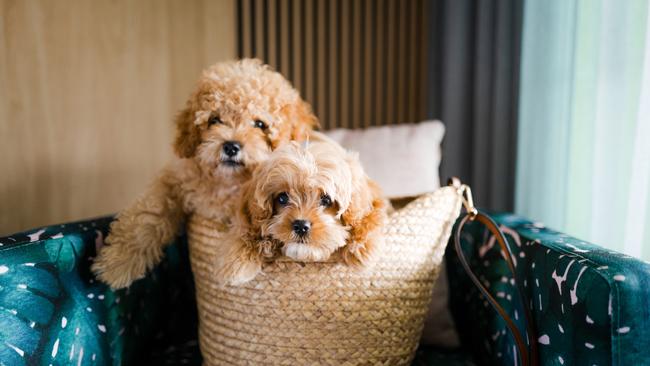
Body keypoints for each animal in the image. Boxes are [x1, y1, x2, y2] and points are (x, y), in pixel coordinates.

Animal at [92, 59, 316, 288]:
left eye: (260, 124)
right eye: (214, 120)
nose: (231, 146)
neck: (226, 182)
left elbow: (248, 226)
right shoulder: (175, 180)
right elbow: (147, 215)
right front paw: (117, 264)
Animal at [213, 139, 384, 284]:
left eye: (326, 200)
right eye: (282, 198)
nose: (301, 226)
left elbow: (368, 217)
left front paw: (363, 247)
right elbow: (246, 228)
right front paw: (236, 261)